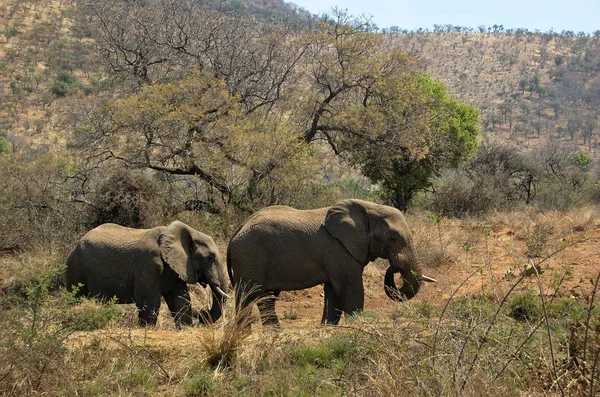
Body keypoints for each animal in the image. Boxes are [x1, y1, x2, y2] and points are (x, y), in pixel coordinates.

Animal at [65, 220, 230, 324]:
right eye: (210, 258)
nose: (203, 314)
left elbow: (180, 301)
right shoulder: (147, 264)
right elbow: (150, 303)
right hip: (76, 269)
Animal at [227, 198, 434, 324]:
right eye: (393, 238)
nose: (394, 267)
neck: (369, 208)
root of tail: (236, 232)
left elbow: (333, 292)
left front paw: (327, 326)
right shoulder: (338, 249)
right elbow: (351, 289)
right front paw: (356, 325)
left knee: (264, 298)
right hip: (250, 258)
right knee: (249, 296)